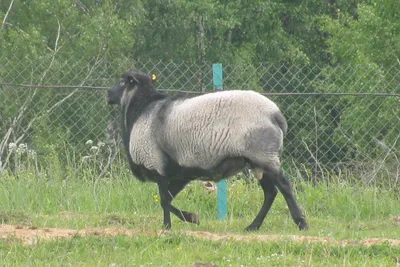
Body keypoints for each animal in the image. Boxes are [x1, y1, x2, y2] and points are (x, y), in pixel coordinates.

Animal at [105, 70, 306, 231]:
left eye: (122, 82)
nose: (108, 94)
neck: (141, 109)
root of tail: (276, 115)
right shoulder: (180, 173)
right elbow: (167, 200)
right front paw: (181, 221)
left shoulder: (157, 165)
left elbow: (163, 200)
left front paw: (175, 223)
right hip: (257, 160)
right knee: (270, 192)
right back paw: (253, 226)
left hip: (264, 155)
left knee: (284, 186)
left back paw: (301, 222)